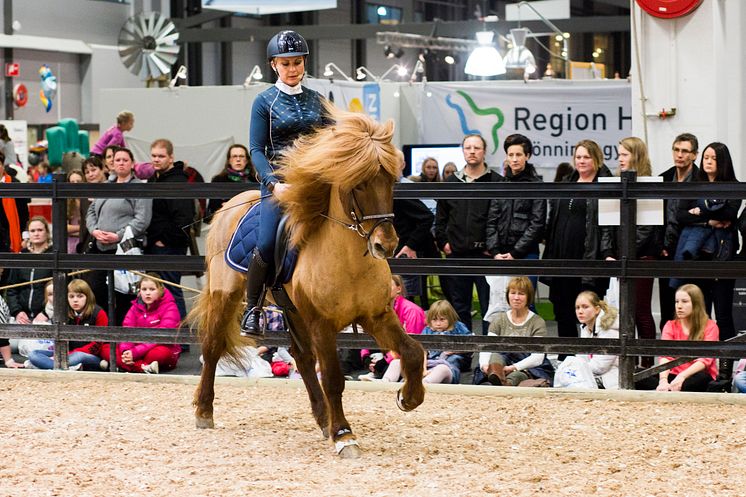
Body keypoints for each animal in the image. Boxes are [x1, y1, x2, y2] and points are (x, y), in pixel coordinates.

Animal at [189, 103, 424, 458]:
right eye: (358, 183)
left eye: (390, 181)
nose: (386, 244)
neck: (349, 261)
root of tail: (228, 207)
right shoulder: (321, 323)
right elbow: (334, 378)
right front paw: (344, 435)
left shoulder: (377, 315)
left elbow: (412, 351)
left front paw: (407, 398)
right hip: (226, 294)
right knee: (213, 346)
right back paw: (204, 411)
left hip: (292, 309)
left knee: (301, 357)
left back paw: (323, 418)